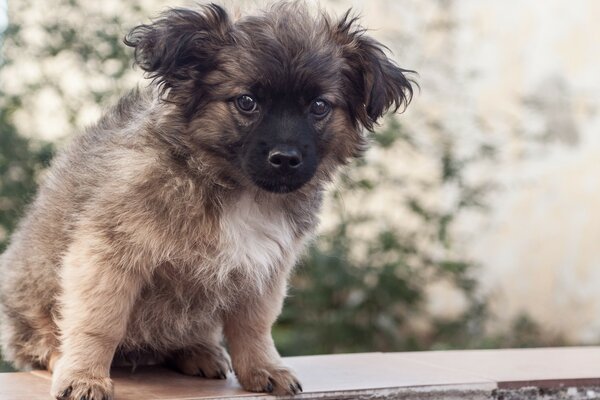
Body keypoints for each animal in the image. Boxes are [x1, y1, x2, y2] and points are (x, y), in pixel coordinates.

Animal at [0, 1, 412, 398]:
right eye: (246, 102)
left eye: (320, 106)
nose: (285, 158)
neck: (234, 188)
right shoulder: (109, 255)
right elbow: (99, 323)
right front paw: (84, 376)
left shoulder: (264, 269)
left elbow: (254, 327)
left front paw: (263, 368)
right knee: (37, 341)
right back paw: (58, 355)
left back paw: (198, 352)